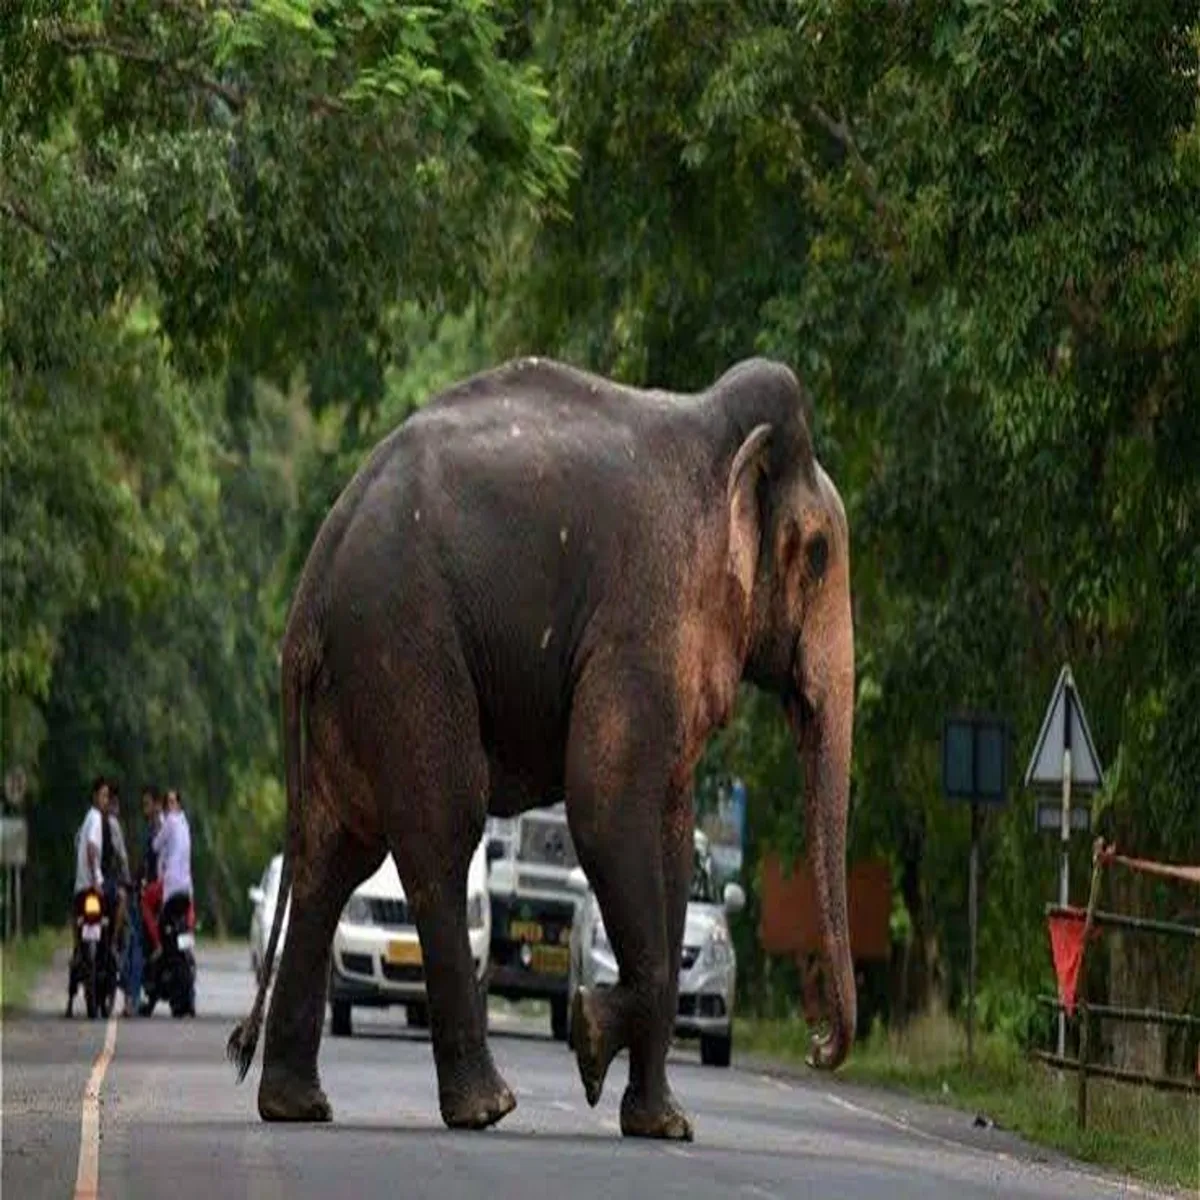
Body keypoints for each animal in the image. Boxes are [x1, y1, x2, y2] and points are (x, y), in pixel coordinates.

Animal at [227, 354, 856, 1142]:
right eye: (820, 554)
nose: (816, 1045)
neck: (721, 441)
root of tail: (312, 579)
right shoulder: (643, 617)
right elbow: (603, 805)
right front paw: (588, 1034)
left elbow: (671, 842)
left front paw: (663, 1125)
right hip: (404, 649)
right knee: (439, 834)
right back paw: (485, 1107)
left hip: (353, 681)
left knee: (332, 853)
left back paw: (298, 1106)